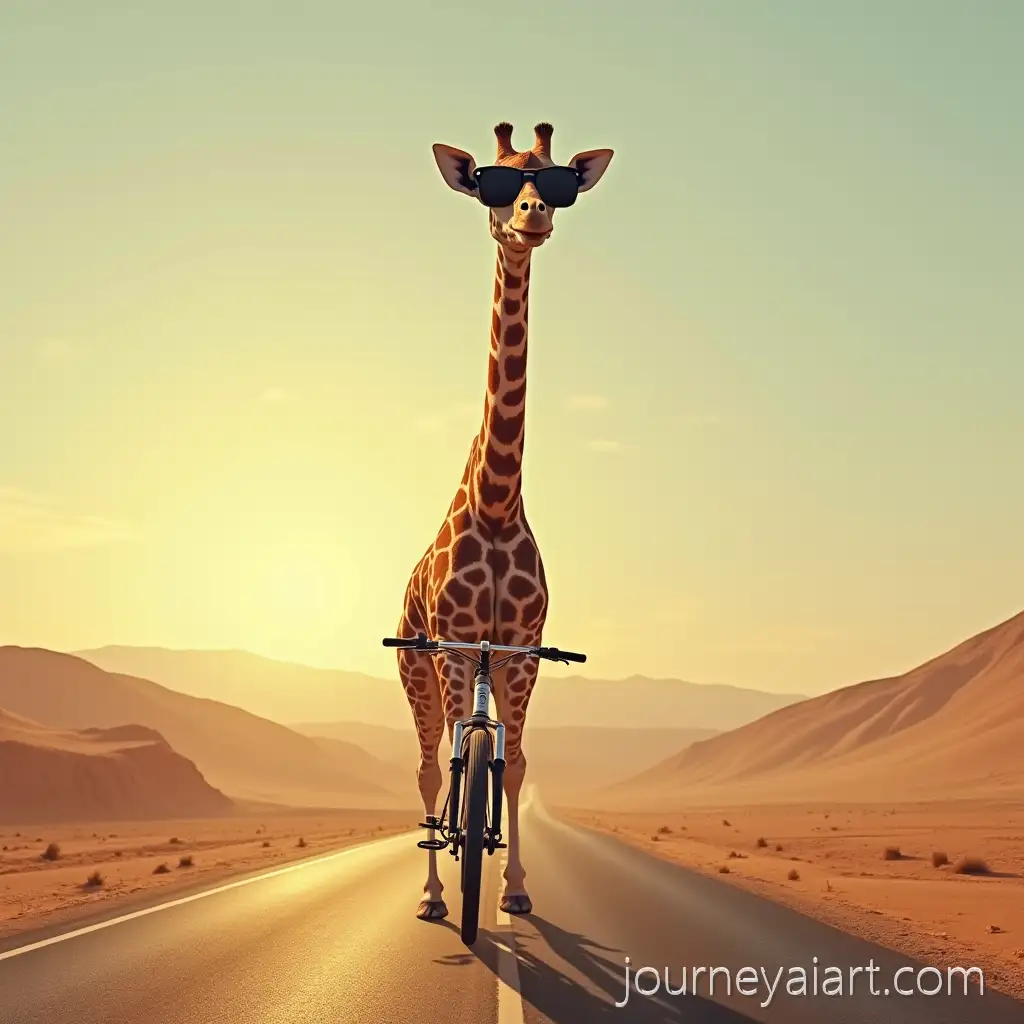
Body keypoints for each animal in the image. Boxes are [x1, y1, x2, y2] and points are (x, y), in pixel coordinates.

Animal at [395, 122, 613, 921]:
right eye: (493, 182)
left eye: (555, 178)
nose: (531, 214)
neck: (493, 505)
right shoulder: (460, 649)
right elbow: (461, 765)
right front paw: (450, 885)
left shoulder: (521, 651)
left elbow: (512, 767)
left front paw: (515, 888)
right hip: (416, 667)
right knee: (430, 766)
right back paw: (431, 893)